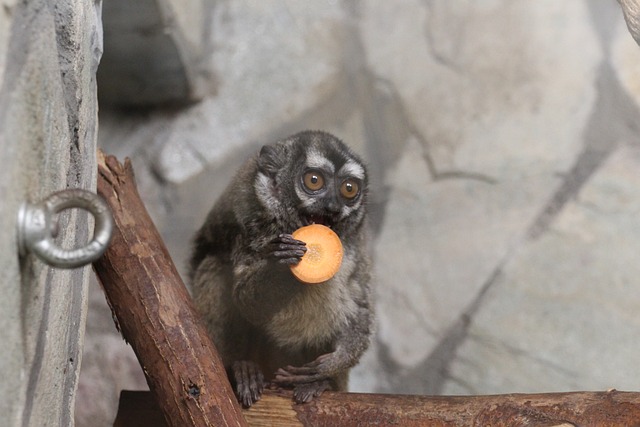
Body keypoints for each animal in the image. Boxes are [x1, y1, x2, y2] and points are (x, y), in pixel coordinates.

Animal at [188, 131, 372, 408]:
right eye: (314, 181)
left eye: (348, 189)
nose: (332, 206)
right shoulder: (248, 223)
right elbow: (244, 299)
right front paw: (281, 266)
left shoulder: (355, 245)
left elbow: (359, 303)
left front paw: (330, 364)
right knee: (214, 267)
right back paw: (242, 370)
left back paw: (319, 383)